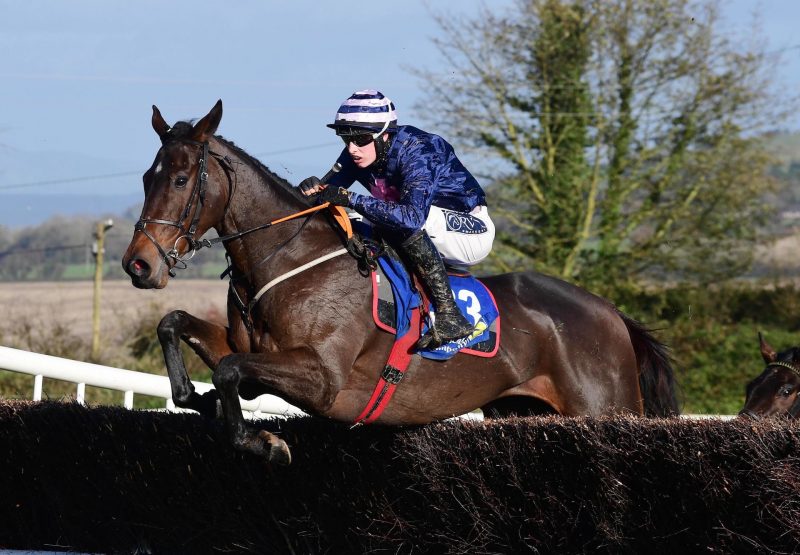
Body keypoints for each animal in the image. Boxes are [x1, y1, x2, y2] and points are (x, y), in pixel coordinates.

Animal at [120, 100, 680, 464]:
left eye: (180, 179)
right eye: (146, 178)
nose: (138, 265)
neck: (290, 260)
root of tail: (611, 313)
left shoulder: (324, 379)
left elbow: (230, 371)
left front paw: (266, 442)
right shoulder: (251, 349)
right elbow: (179, 328)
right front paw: (198, 399)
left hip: (604, 408)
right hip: (525, 412)